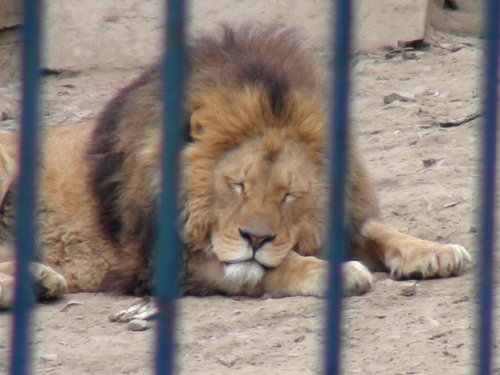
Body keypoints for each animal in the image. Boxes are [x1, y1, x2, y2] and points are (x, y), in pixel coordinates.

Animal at [0, 23, 468, 308]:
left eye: (288, 195)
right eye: (236, 185)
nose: (255, 238)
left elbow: (376, 230)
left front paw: (435, 251)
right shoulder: (166, 262)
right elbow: (270, 268)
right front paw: (334, 272)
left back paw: (37, 279)